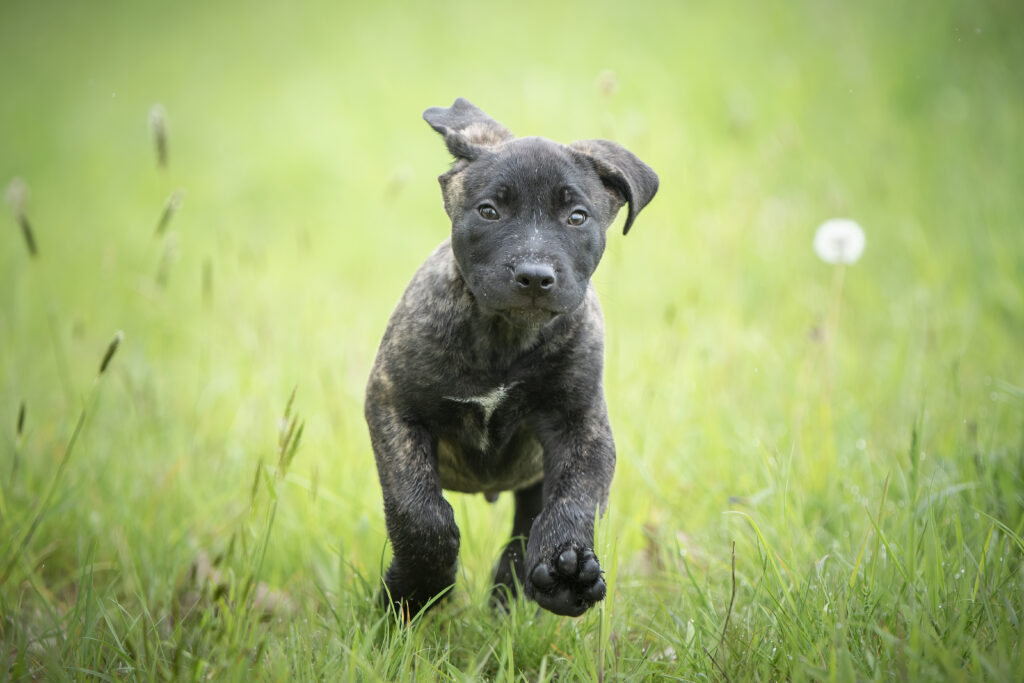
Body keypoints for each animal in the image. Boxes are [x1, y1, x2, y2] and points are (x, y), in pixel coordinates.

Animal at [364, 97, 659, 618]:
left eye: (577, 217)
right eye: (489, 211)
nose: (535, 276)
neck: (504, 337)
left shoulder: (581, 425)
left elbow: (577, 498)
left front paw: (566, 566)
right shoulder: (394, 407)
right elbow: (419, 511)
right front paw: (416, 588)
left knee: (525, 526)